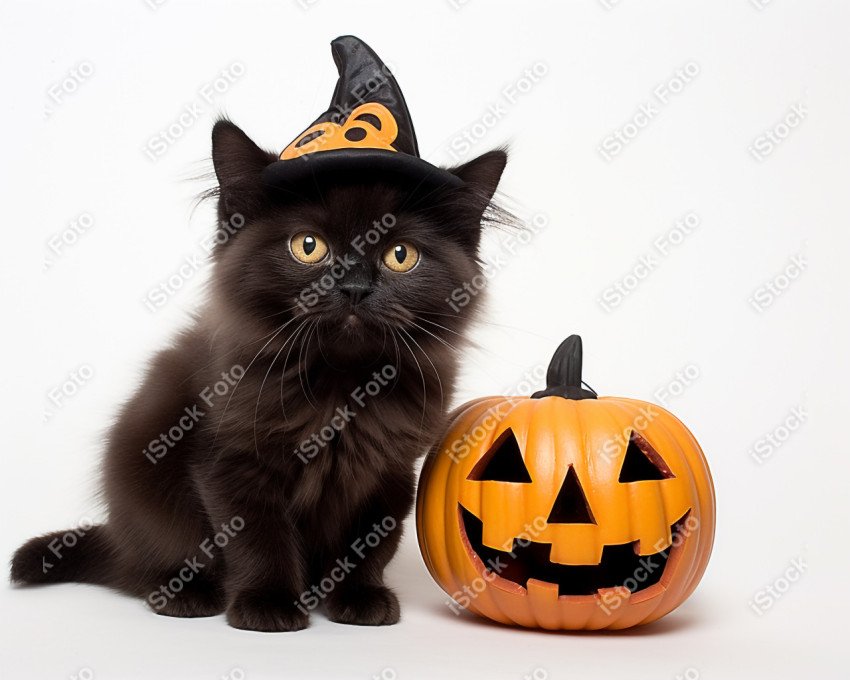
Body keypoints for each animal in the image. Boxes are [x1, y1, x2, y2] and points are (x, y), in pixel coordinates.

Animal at [8, 121, 504, 632]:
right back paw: (185, 594)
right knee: (149, 566)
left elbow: (369, 541)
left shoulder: (388, 470)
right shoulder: (231, 462)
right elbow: (258, 538)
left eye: (400, 255)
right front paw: (269, 604)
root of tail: (116, 539)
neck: (339, 386)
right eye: (309, 246)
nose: (353, 287)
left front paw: (359, 597)